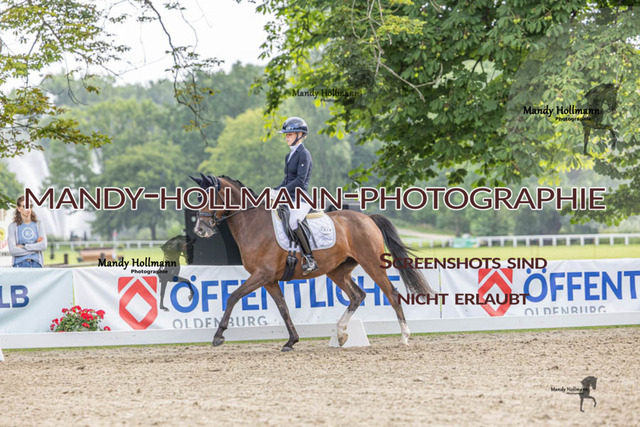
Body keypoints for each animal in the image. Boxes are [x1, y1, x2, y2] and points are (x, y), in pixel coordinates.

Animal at [189, 174, 433, 351]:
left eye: (208, 197)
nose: (199, 229)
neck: (254, 223)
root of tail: (367, 218)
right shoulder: (269, 279)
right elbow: (283, 308)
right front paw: (291, 341)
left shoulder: (261, 275)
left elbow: (233, 296)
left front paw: (218, 335)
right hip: (337, 270)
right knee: (357, 296)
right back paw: (341, 334)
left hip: (371, 263)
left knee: (391, 293)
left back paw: (404, 337)